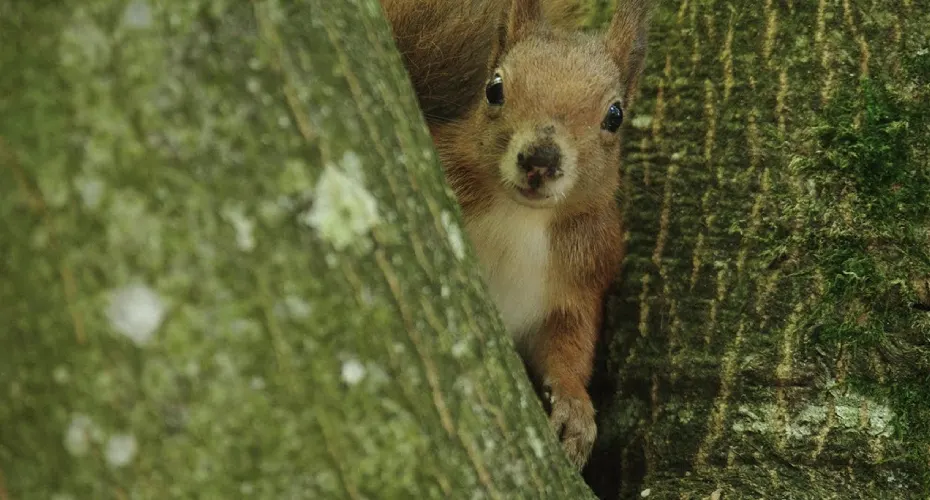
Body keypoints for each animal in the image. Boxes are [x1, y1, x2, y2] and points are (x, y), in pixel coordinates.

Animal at [380, 0, 650, 469]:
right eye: (494, 89)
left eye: (615, 116)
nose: (540, 159)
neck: (521, 217)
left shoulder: (581, 281)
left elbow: (569, 346)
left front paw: (575, 408)